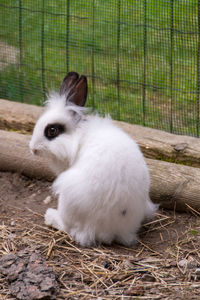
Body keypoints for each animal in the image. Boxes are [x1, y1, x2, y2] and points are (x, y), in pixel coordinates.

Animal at [30, 71, 158, 247]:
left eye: (52, 130)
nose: (33, 148)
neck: (77, 136)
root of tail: (115, 229)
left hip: (67, 195)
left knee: (70, 227)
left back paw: (51, 217)